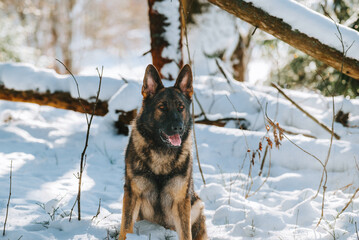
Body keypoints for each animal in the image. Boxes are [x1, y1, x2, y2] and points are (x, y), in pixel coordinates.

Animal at [119, 64, 208, 240]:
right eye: (162, 108)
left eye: (181, 108)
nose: (178, 127)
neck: (162, 152)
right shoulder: (132, 194)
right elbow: (125, 228)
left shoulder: (181, 201)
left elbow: (186, 234)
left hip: (196, 204)